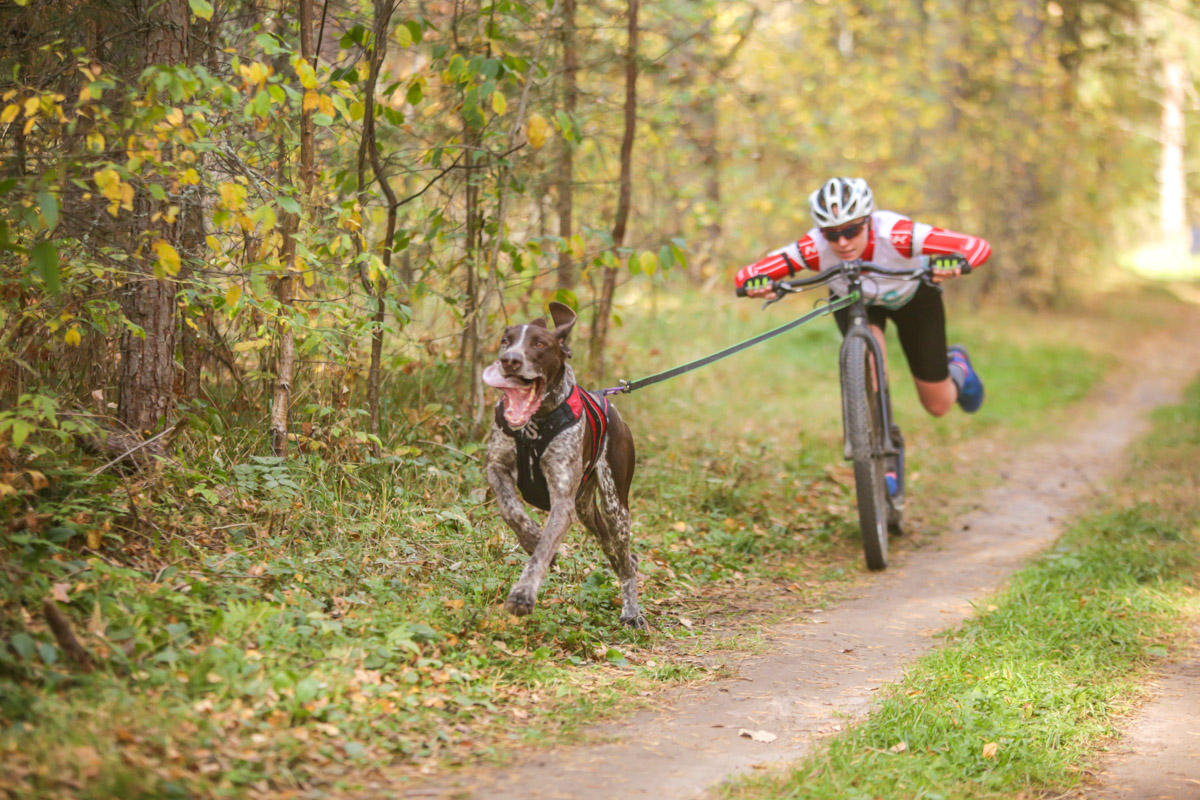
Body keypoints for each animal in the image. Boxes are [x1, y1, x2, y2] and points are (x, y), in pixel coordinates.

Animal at [480, 303, 648, 628]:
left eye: (540, 344)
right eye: (506, 341)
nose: (509, 360)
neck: (535, 424)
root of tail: (610, 404)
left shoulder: (561, 501)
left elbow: (544, 549)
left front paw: (523, 594)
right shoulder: (496, 466)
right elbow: (510, 510)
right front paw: (530, 537)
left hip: (615, 508)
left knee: (624, 562)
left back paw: (631, 612)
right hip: (586, 510)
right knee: (618, 553)